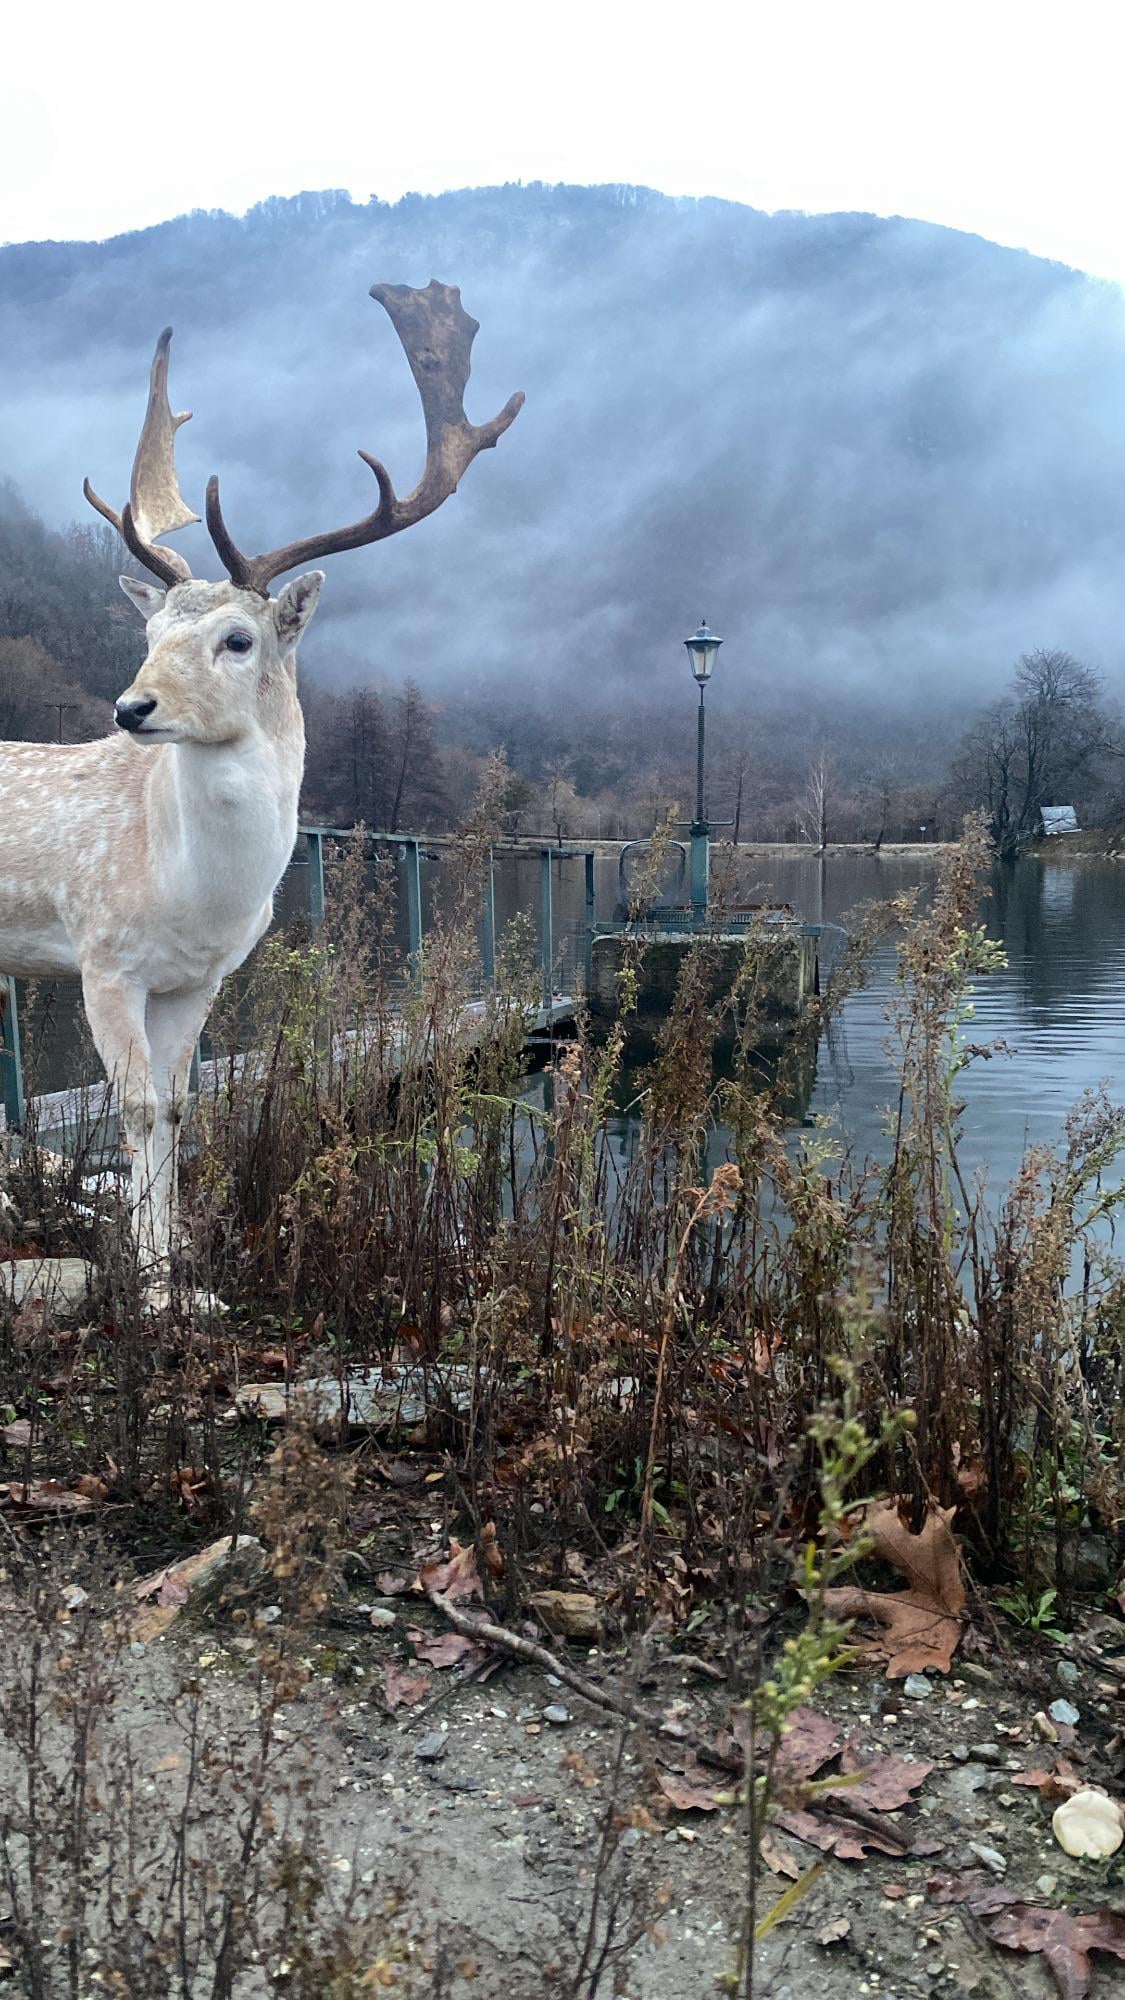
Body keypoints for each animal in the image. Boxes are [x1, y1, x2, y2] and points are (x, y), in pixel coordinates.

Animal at [0, 281, 522, 1291]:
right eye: (150, 629)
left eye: (236, 639)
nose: (132, 706)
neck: (191, 892)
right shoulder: (101, 955)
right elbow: (132, 1111)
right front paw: (149, 1280)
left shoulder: (196, 979)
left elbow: (176, 1111)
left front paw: (175, 1265)